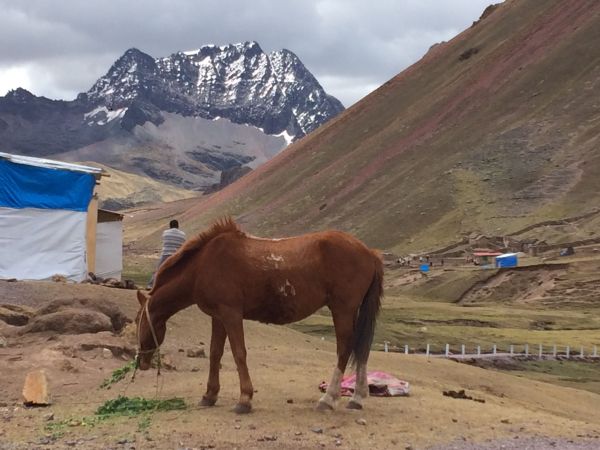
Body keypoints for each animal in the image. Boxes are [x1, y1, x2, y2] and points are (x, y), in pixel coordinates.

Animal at [135, 220, 384, 414]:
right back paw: (357, 398)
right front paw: (209, 395)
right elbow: (215, 354)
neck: (203, 265)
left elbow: (239, 353)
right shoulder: (218, 317)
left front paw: (244, 399)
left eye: (140, 323)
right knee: (361, 349)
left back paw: (328, 399)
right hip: (352, 312)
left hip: (342, 310)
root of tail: (369, 252)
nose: (142, 363)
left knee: (345, 349)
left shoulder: (231, 313)